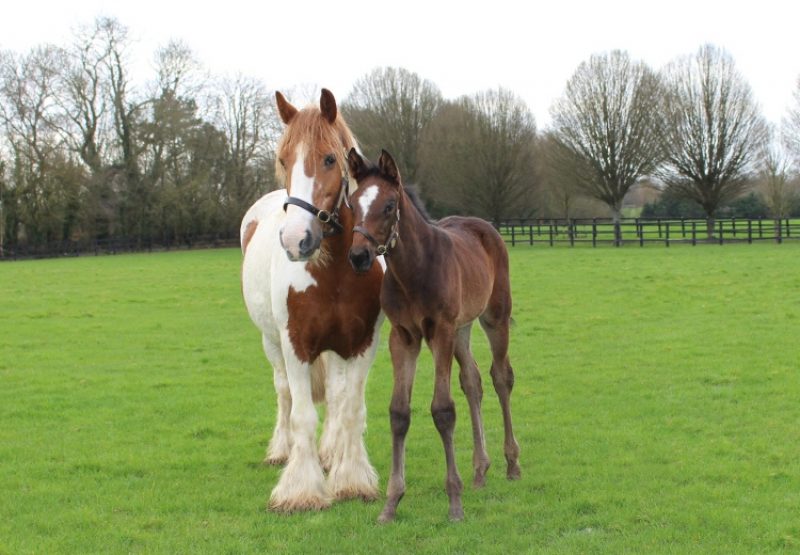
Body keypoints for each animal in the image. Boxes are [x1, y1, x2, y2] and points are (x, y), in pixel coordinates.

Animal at [346, 148, 520, 520]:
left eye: (389, 205)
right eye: (352, 203)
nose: (359, 256)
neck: (415, 269)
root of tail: (484, 226)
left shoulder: (440, 331)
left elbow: (442, 410)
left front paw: (454, 501)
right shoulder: (403, 336)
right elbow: (399, 412)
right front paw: (391, 502)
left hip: (493, 318)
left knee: (501, 377)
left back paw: (512, 463)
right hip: (462, 328)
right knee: (472, 381)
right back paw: (480, 470)